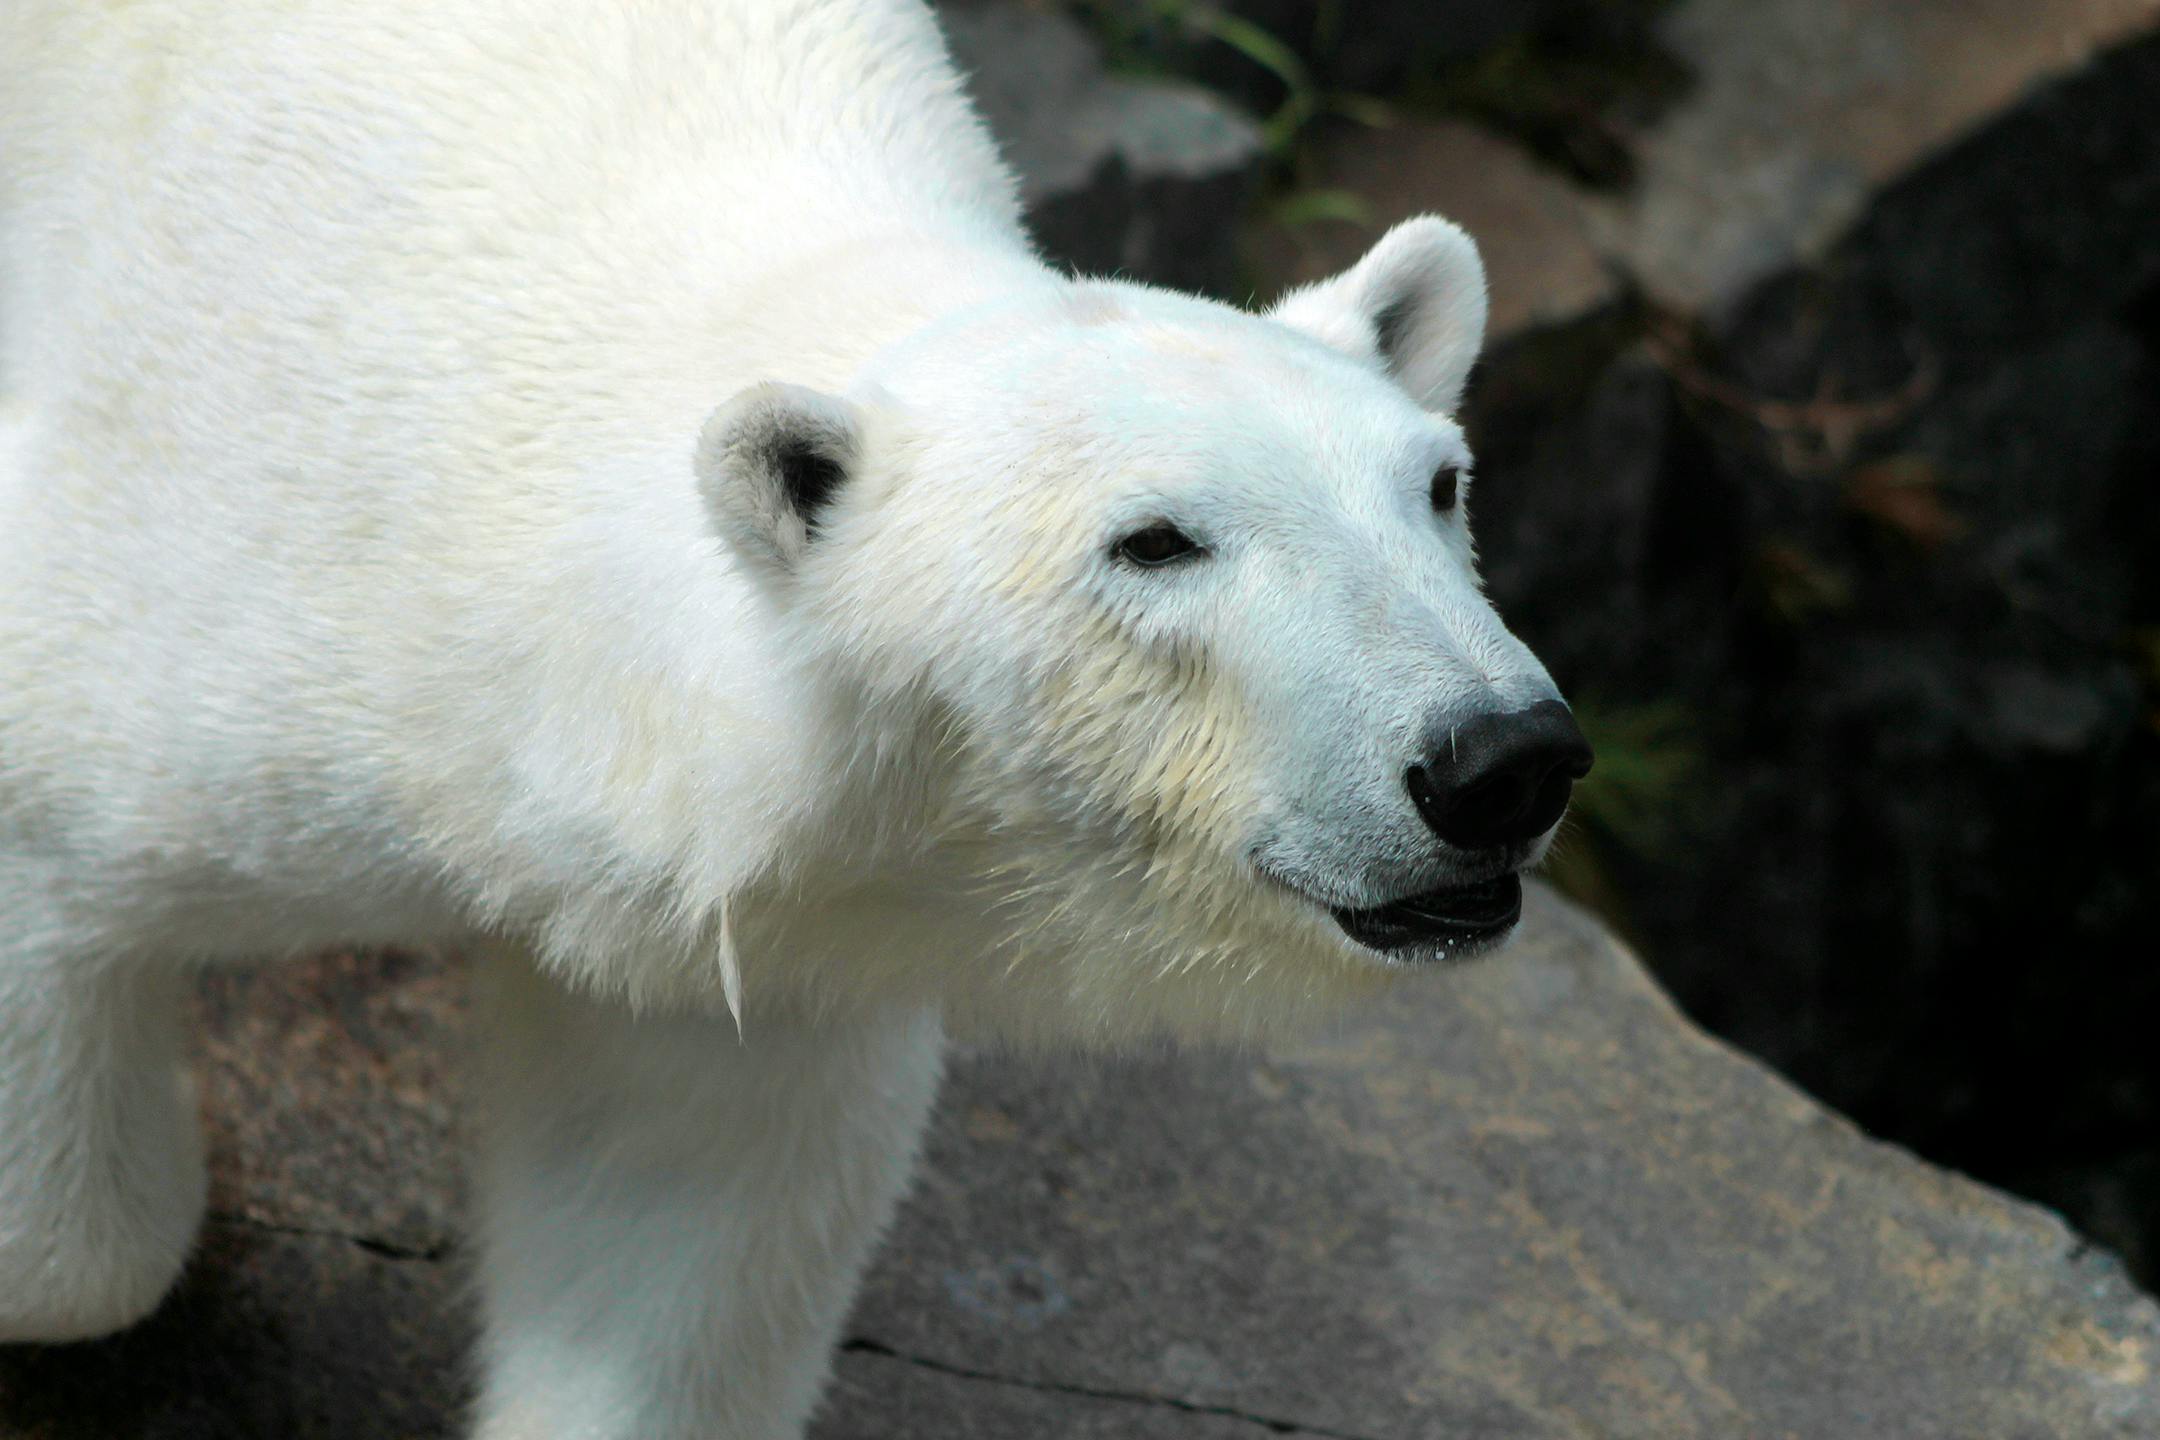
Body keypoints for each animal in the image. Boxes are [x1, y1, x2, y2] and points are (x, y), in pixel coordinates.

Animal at [0, 0, 1589, 1433]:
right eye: (1155, 543)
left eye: (1437, 484)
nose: (1499, 760)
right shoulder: (237, 568)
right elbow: (73, 1218)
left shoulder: (759, 939)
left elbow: (681, 1217)